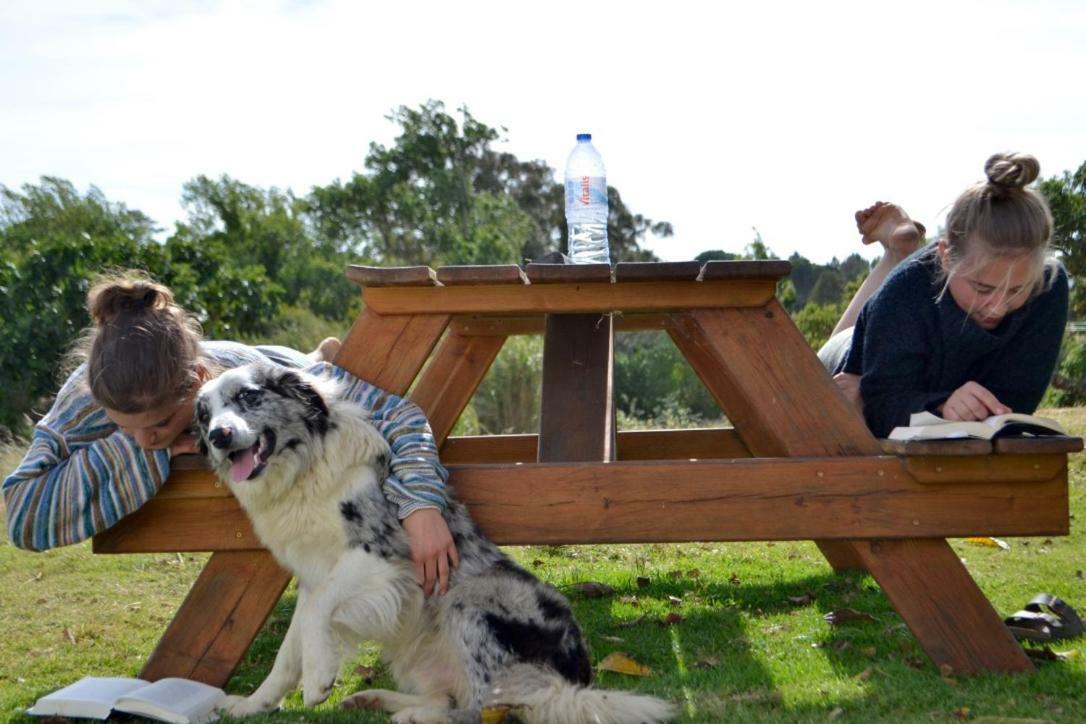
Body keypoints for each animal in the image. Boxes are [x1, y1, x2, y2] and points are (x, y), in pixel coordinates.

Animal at [194, 364, 668, 720]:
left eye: (248, 396)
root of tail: (575, 679)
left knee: (486, 710)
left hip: (468, 603)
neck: (305, 471)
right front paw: (253, 704)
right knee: (449, 697)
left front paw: (318, 680)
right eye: (203, 415)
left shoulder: (381, 554)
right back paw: (380, 700)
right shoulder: (313, 574)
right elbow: (290, 649)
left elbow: (316, 615)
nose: (218, 436)